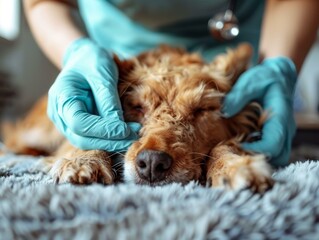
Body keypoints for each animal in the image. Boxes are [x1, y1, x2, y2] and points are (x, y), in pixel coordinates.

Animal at [1, 43, 274, 193]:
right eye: (138, 107)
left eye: (201, 110)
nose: (152, 163)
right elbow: (83, 139)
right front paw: (83, 161)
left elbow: (224, 146)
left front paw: (235, 165)